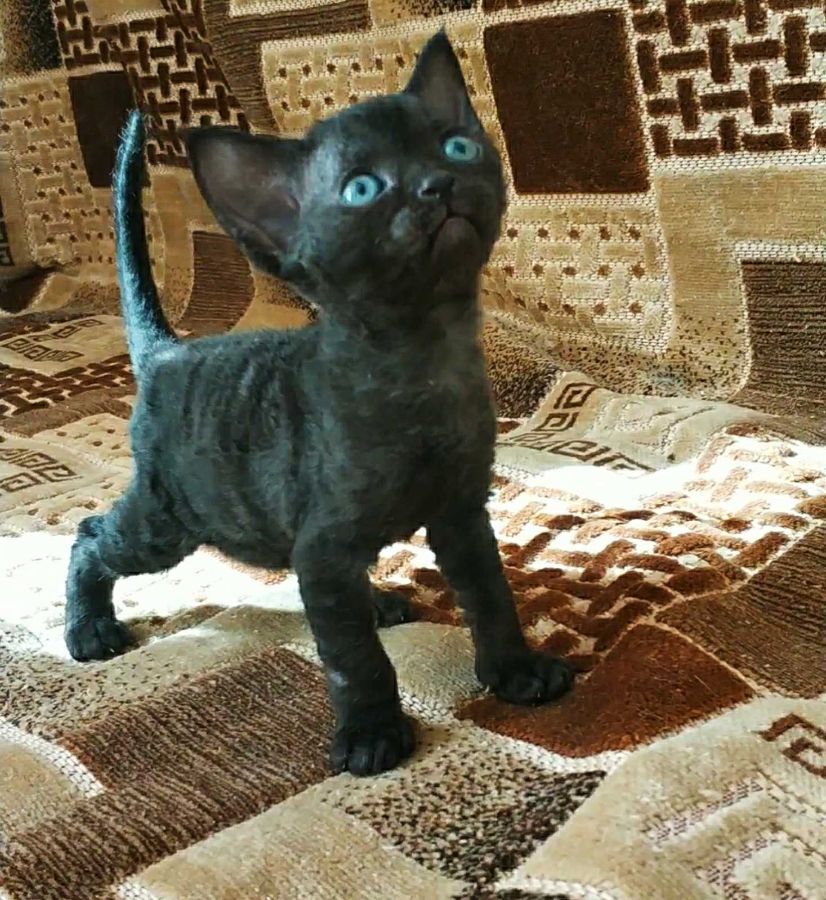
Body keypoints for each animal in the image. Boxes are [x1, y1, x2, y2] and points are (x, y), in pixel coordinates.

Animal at [64, 31, 573, 775]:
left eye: (455, 147)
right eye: (361, 189)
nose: (437, 184)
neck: (426, 362)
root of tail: (168, 354)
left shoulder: (461, 514)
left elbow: (492, 598)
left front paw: (517, 672)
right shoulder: (326, 543)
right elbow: (352, 657)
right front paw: (371, 732)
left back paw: (379, 600)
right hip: (168, 519)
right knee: (90, 536)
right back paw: (88, 629)